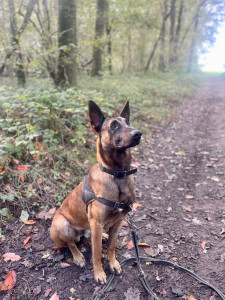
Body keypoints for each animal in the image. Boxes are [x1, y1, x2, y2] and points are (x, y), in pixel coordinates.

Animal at [50, 100, 142, 284]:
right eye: (114, 125)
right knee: (71, 243)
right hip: (62, 224)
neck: (117, 174)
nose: (138, 134)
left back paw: (103, 236)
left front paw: (113, 263)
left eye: (128, 122)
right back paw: (78, 257)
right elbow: (97, 253)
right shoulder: (97, 222)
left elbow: (111, 247)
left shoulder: (118, 221)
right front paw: (99, 273)